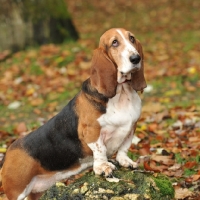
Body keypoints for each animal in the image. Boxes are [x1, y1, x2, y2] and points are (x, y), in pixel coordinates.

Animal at [0, 27, 147, 199]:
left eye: (132, 38)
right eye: (114, 43)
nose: (136, 58)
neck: (121, 93)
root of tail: (7, 153)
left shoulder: (131, 127)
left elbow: (124, 147)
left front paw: (125, 161)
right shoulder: (91, 132)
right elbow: (100, 149)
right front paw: (103, 167)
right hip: (17, 191)